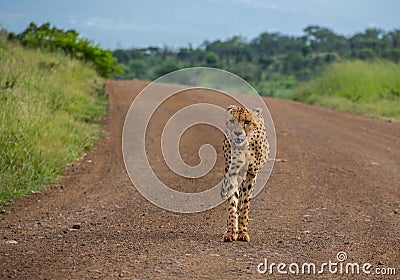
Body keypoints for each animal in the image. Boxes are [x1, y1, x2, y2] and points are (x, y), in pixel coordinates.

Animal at [222, 104, 268, 242]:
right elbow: (232, 202)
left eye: (247, 122)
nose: (238, 133)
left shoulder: (251, 174)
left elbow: (245, 203)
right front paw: (231, 231)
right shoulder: (232, 173)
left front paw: (242, 232)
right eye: (232, 121)